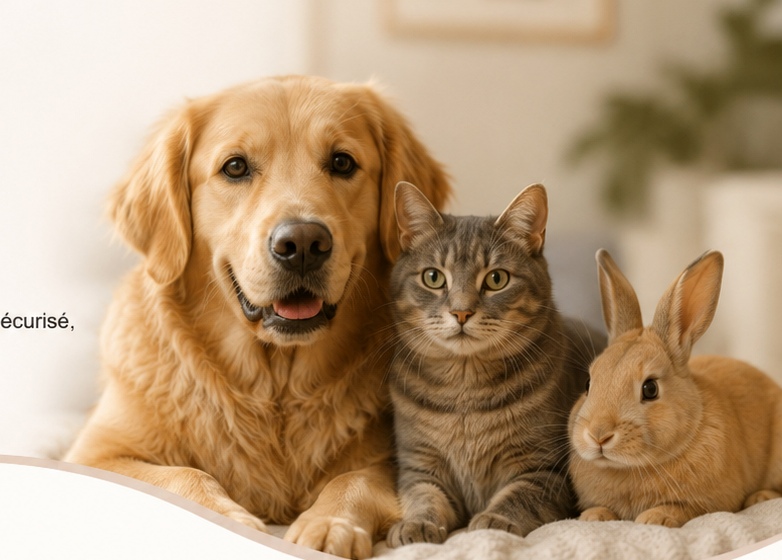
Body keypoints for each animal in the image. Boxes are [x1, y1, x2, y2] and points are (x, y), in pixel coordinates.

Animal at [568, 248, 782, 528]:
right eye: (588, 383)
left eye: (650, 389)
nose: (598, 435)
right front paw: (594, 516)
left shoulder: (711, 502)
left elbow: (684, 509)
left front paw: (654, 518)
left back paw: (760, 497)